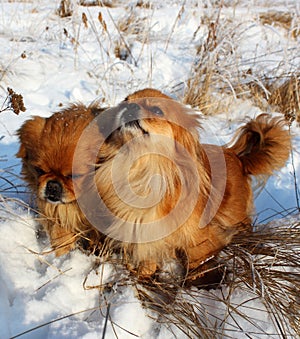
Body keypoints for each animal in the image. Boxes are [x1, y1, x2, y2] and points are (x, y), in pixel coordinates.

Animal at [92, 88, 292, 282]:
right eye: (124, 102)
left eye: (157, 110)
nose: (129, 107)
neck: (144, 169)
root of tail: (236, 156)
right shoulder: (144, 230)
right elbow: (148, 260)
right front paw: (143, 276)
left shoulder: (198, 239)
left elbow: (198, 264)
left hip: (235, 217)